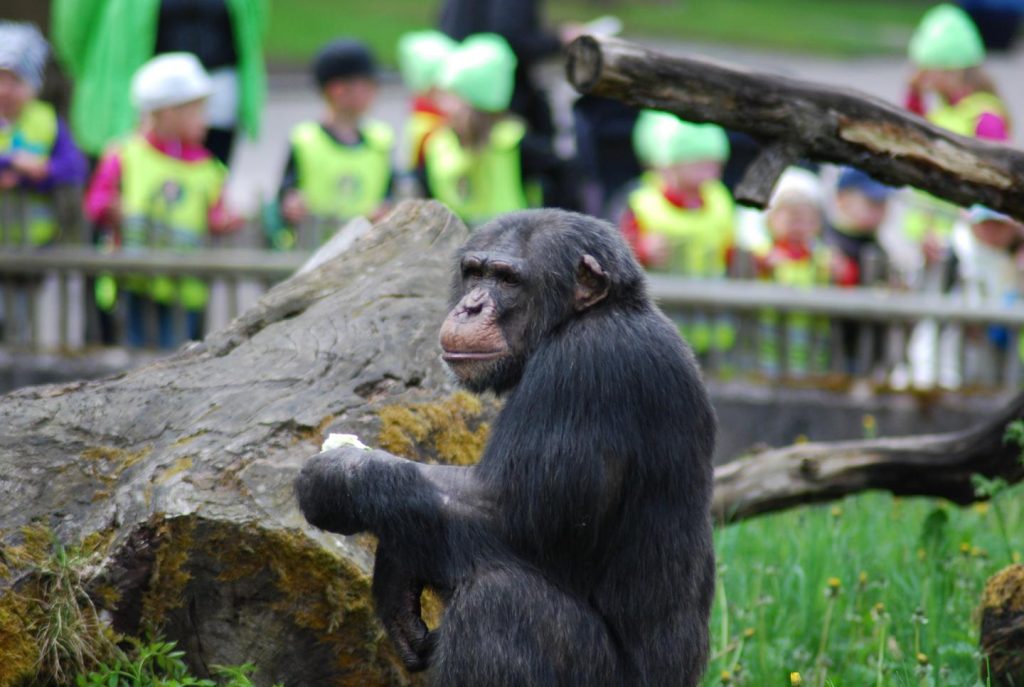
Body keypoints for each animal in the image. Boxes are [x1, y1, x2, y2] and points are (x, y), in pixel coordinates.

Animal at [292, 209, 716, 687]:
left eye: (508, 279)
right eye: (475, 273)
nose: (470, 306)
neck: (584, 317)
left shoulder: (585, 367)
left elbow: (510, 511)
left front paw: (340, 477)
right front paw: (396, 577)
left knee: (497, 602)